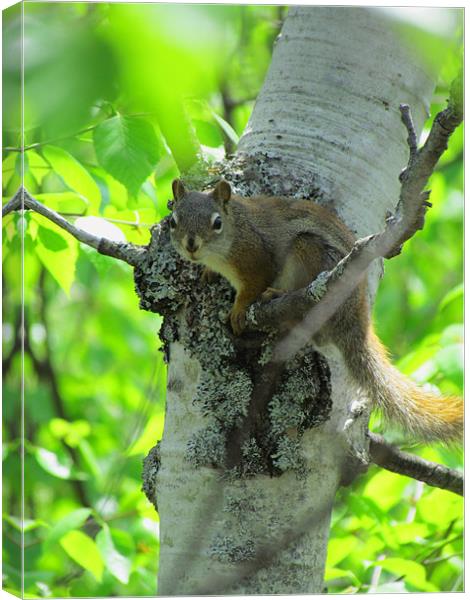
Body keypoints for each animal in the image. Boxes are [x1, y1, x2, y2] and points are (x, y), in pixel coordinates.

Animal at [169, 180, 462, 442]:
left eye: (217, 223)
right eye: (173, 221)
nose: (191, 245)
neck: (234, 228)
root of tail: (356, 318)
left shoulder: (255, 258)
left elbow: (252, 287)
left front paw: (239, 309)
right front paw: (207, 273)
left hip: (308, 251)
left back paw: (277, 295)